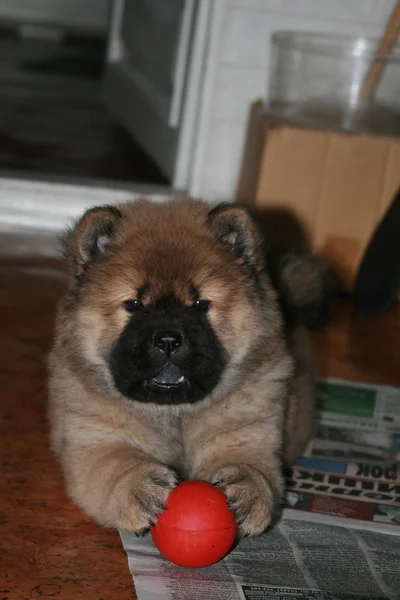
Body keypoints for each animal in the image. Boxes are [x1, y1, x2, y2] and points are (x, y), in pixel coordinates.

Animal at [48, 199, 332, 536]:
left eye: (200, 304)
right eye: (133, 305)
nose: (168, 339)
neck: (174, 414)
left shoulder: (250, 432)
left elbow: (253, 464)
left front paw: (247, 488)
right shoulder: (95, 441)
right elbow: (116, 465)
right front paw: (140, 487)